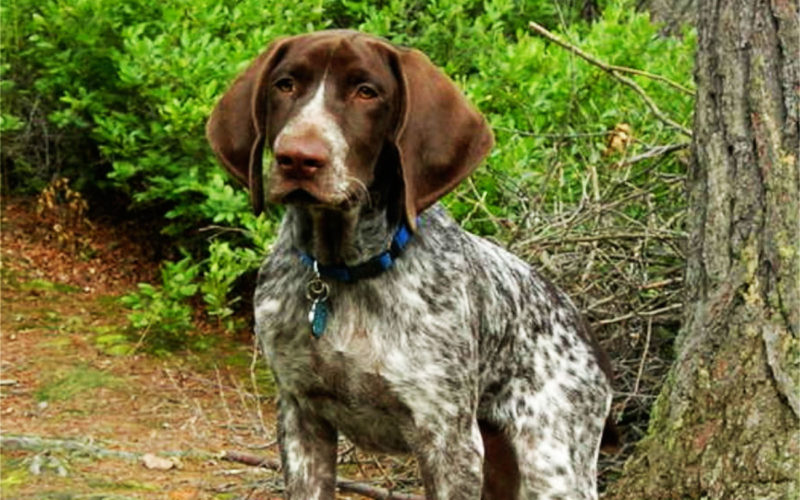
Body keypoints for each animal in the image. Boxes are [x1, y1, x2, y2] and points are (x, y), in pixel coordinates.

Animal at [208, 29, 620, 498]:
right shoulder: (300, 417)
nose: (297, 158)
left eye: (367, 92)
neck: (344, 271)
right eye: (285, 84)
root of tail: (585, 330)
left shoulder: (448, 440)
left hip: (553, 465)